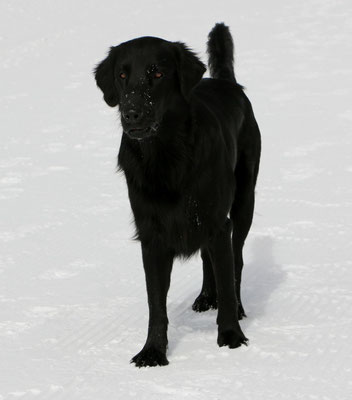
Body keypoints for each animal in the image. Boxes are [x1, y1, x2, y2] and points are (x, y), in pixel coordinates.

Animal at [95, 23, 260, 368]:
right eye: (122, 75)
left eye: (157, 73)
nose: (132, 113)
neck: (165, 158)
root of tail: (226, 82)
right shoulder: (151, 237)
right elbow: (156, 304)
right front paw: (152, 351)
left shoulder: (218, 221)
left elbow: (227, 279)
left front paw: (231, 336)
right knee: (210, 259)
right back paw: (205, 297)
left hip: (244, 201)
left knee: (235, 260)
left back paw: (236, 309)